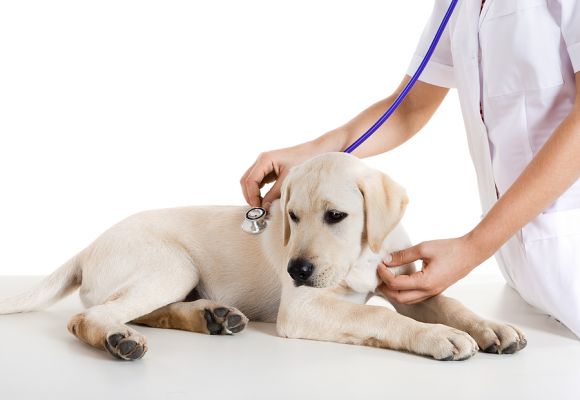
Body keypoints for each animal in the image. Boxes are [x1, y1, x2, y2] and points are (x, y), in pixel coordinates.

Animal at [0, 152, 528, 360]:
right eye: (291, 216)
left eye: (336, 216)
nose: (296, 269)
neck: (356, 258)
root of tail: (86, 246)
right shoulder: (304, 307)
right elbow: (382, 319)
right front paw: (440, 337)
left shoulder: (404, 282)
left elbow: (449, 302)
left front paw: (491, 328)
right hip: (172, 263)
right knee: (91, 317)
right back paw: (119, 340)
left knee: (145, 310)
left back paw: (212, 316)